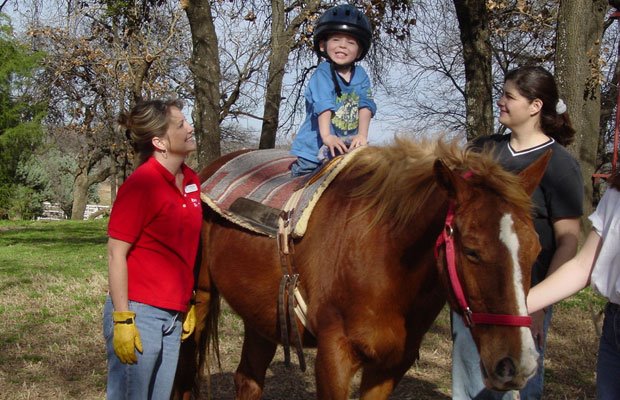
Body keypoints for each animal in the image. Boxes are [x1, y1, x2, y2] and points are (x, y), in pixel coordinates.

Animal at [173, 138, 548, 400]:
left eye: (536, 250)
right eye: (471, 251)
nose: (518, 364)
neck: (385, 259)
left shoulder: (390, 366)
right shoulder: (334, 356)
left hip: (262, 316)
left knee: (248, 380)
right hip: (198, 301)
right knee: (184, 375)